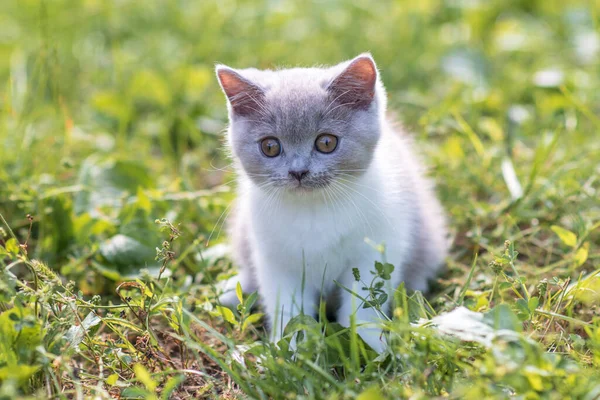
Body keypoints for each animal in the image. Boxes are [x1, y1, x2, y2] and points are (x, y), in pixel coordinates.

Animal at [214, 54, 446, 354]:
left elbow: (364, 304)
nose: (298, 172)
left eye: (326, 142)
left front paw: (367, 345)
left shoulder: (375, 250)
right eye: (270, 147)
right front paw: (288, 351)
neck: (313, 210)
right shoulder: (275, 261)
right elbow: (287, 308)